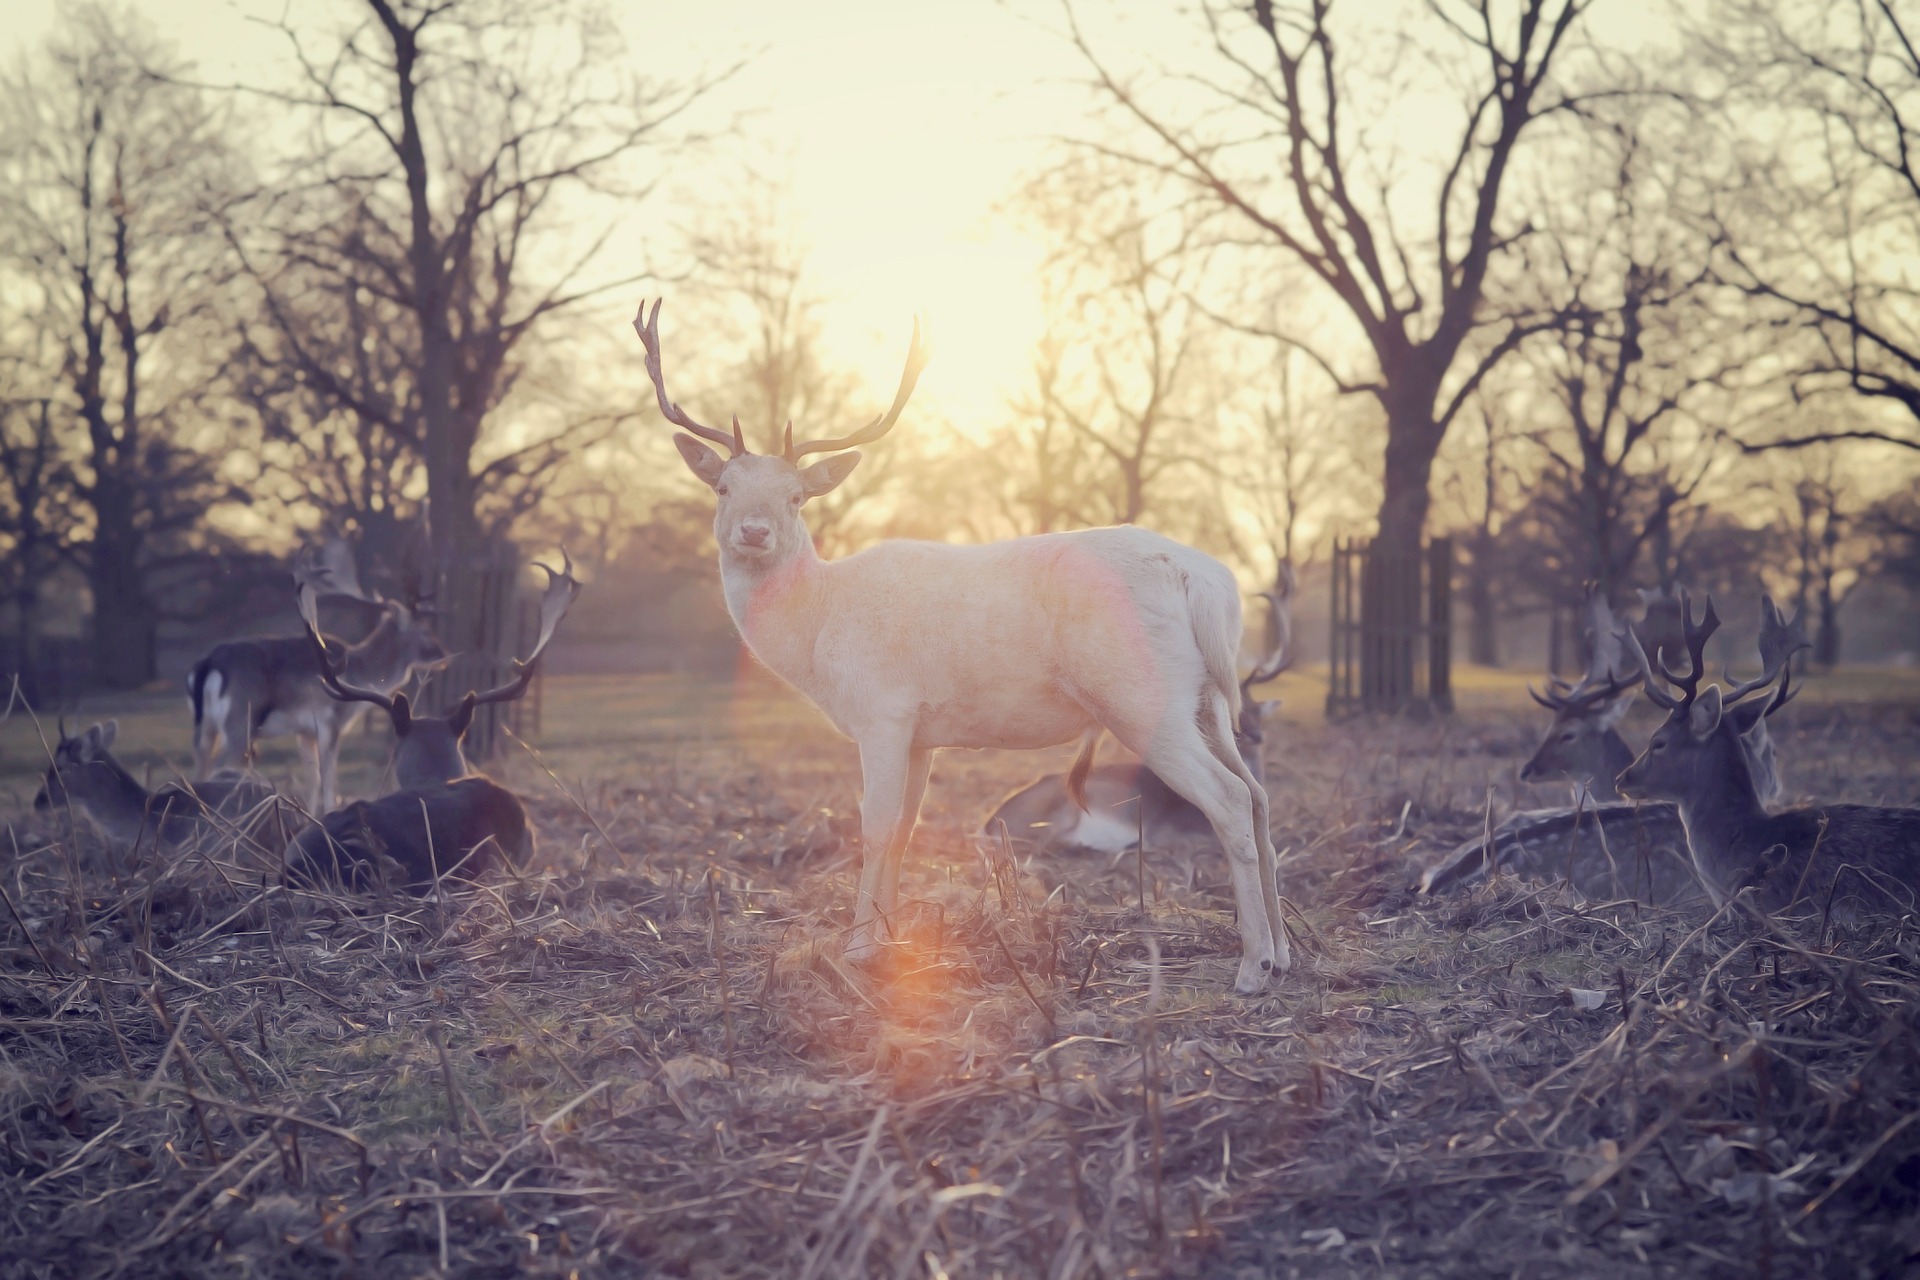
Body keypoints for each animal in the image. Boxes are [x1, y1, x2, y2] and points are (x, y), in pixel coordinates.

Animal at [187, 541, 447, 815]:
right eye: (425, 630)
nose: (444, 654)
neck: (361, 671)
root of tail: (207, 664)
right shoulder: (330, 723)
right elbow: (329, 782)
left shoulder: (305, 731)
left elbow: (313, 780)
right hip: (240, 722)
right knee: (220, 766)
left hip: (204, 728)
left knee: (200, 769)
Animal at [984, 562, 1293, 857]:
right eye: (1233, 716)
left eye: (1257, 709)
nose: (1254, 736)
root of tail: (988, 824)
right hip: (1061, 810)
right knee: (1046, 842)